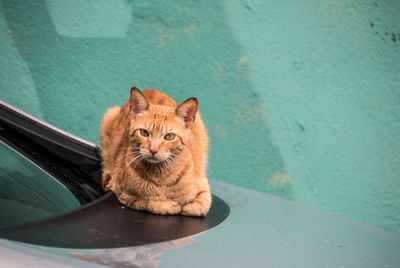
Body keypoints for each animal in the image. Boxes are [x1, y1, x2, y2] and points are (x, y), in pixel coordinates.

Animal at [99, 87, 211, 217]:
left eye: (169, 136)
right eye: (144, 133)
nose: (153, 150)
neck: (162, 177)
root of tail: (152, 89)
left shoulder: (203, 183)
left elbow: (201, 206)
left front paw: (188, 207)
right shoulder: (123, 194)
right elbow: (150, 203)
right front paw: (171, 205)